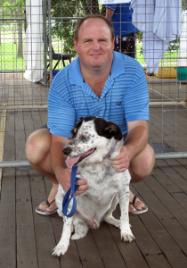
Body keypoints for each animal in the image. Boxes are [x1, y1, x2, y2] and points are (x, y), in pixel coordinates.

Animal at [52, 116, 134, 255]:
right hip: (60, 197)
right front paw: (62, 246)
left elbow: (125, 215)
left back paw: (116, 222)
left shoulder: (124, 190)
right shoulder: (71, 191)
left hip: (115, 200)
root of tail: (93, 222)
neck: (97, 165)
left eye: (85, 137)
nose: (65, 151)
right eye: (72, 132)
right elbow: (66, 225)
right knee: (70, 220)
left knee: (108, 216)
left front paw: (126, 232)